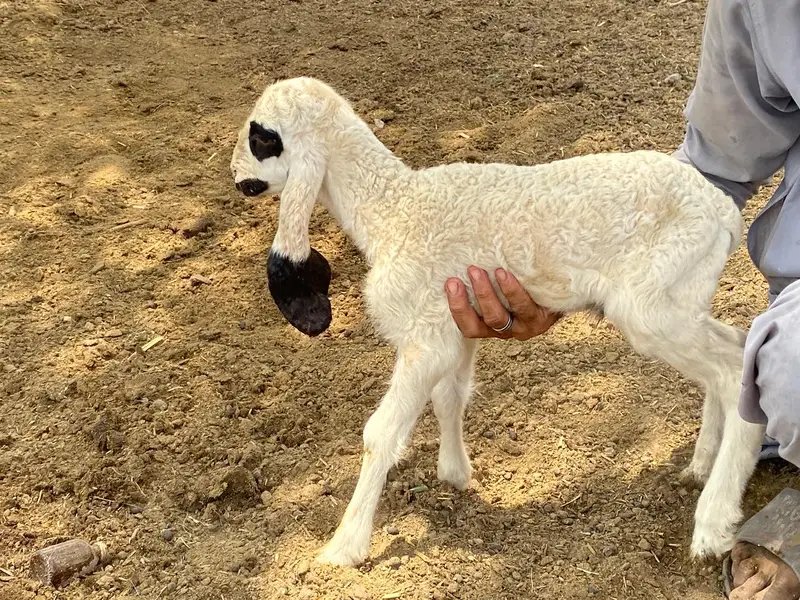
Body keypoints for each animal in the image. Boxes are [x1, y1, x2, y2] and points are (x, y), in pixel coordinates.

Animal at [230, 76, 765, 567]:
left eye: (262, 136)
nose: (235, 175)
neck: (391, 208)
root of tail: (722, 211)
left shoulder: (425, 337)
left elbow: (378, 435)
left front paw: (344, 546)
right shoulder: (454, 323)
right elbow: (451, 396)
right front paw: (455, 472)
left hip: (651, 303)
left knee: (733, 369)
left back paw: (713, 523)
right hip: (684, 292)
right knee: (735, 348)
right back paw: (701, 464)